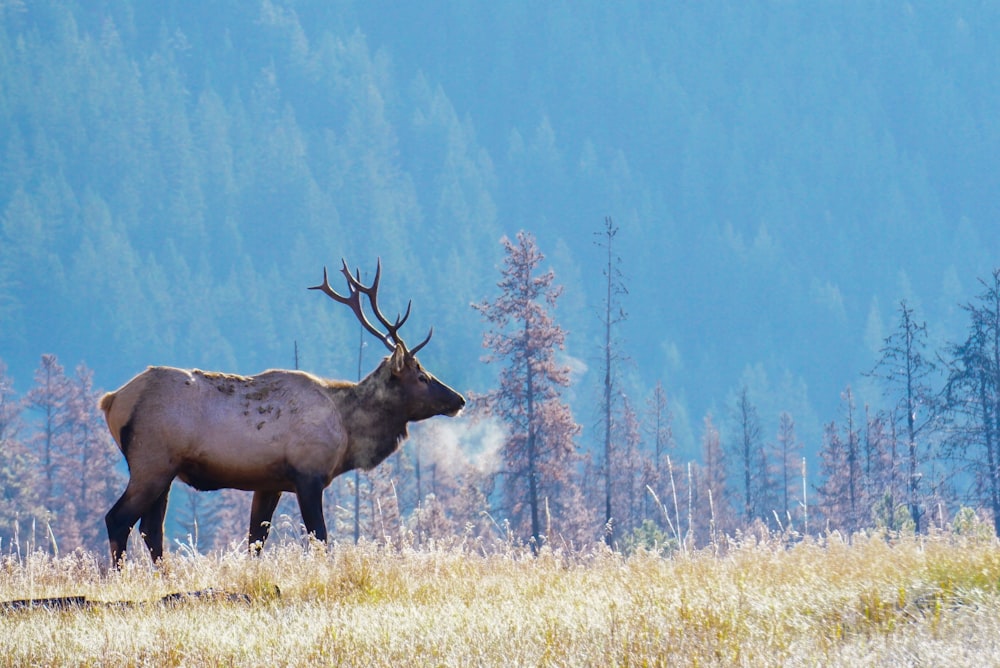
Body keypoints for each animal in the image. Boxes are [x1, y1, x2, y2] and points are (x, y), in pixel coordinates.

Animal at [97, 260, 464, 564]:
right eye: (422, 376)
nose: (458, 400)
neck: (347, 431)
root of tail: (111, 401)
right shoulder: (308, 474)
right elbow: (320, 538)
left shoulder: (268, 483)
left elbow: (256, 541)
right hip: (151, 461)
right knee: (119, 519)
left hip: (166, 470)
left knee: (150, 528)